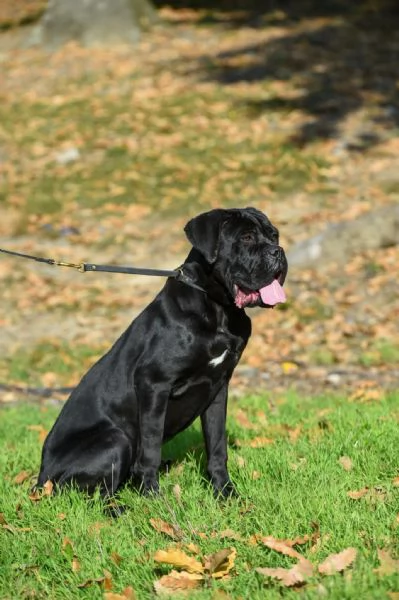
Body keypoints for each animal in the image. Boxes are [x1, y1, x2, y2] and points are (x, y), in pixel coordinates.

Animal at [36, 209, 288, 500]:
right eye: (246, 237)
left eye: (274, 235)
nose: (278, 251)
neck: (219, 309)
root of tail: (41, 478)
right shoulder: (154, 384)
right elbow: (151, 448)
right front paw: (154, 499)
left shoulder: (218, 387)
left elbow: (217, 445)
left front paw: (225, 492)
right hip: (115, 439)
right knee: (96, 493)